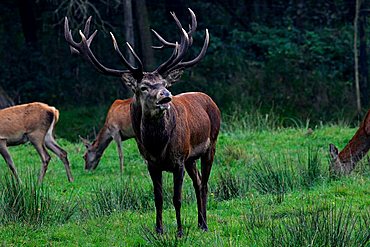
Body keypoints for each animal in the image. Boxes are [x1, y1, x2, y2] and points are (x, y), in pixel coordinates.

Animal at [64, 8, 220, 236]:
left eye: (164, 83)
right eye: (144, 87)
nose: (166, 96)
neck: (157, 145)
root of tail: (211, 101)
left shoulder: (178, 160)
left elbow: (177, 198)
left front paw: (180, 232)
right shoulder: (152, 163)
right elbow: (158, 198)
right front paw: (159, 230)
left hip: (211, 144)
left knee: (205, 184)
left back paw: (205, 224)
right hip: (191, 158)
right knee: (199, 182)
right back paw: (200, 223)